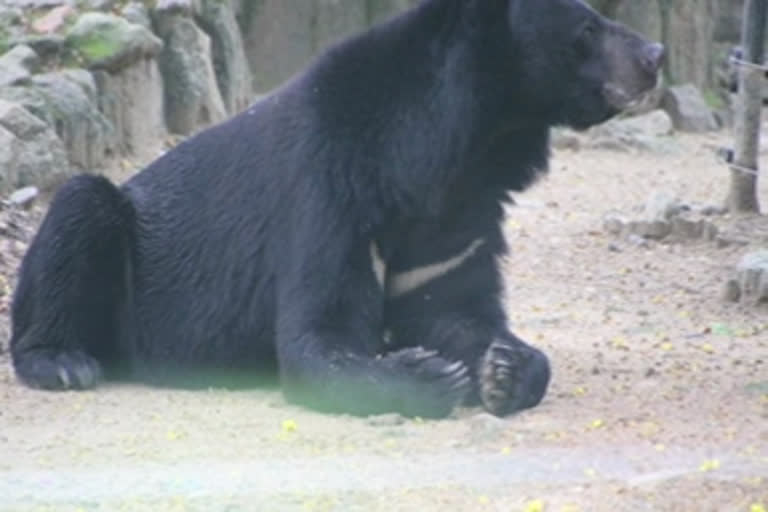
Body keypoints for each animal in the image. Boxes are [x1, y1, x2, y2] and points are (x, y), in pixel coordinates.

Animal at [9, 0, 664, 418]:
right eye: (588, 27)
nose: (655, 53)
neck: (468, 145)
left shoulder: (458, 219)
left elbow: (454, 308)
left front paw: (503, 368)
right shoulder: (330, 190)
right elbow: (320, 333)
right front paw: (428, 374)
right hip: (123, 249)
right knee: (80, 210)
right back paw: (63, 362)